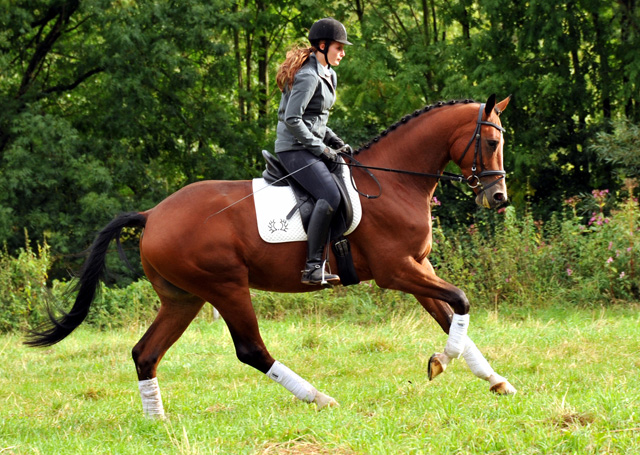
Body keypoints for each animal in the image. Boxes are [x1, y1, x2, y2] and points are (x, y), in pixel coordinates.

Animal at [26, 94, 516, 418]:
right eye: (491, 144)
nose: (499, 198)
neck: (395, 181)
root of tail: (153, 214)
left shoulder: (419, 267)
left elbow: (450, 314)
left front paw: (493, 379)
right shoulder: (396, 271)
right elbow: (461, 300)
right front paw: (441, 363)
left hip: (184, 298)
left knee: (145, 353)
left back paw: (157, 421)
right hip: (225, 287)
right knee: (250, 350)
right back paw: (320, 397)